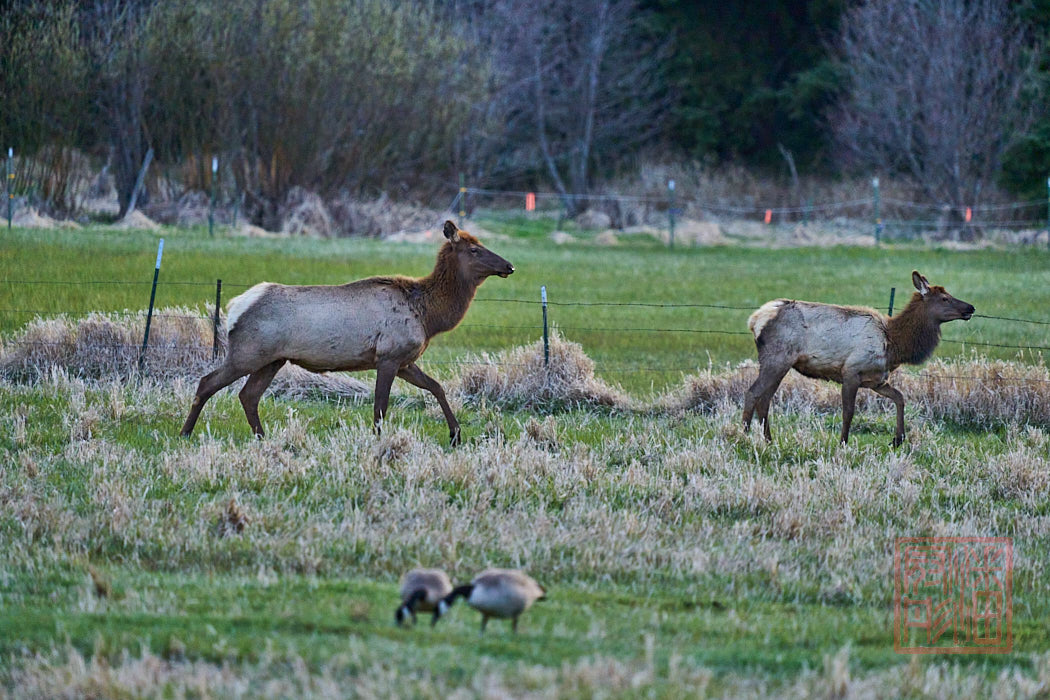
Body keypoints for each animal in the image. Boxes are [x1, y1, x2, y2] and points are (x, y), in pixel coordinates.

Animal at [180, 220, 514, 445]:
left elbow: (437, 387)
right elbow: (380, 406)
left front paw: (456, 434)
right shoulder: (389, 356)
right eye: (474, 249)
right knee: (208, 383)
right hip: (248, 352)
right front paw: (378, 441)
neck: (428, 315)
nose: (509, 266)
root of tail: (235, 307)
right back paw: (185, 432)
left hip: (272, 360)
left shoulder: (405, 361)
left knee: (248, 395)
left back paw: (262, 437)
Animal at [743, 271, 974, 447]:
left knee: (765, 399)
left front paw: (897, 439)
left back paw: (769, 441)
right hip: (777, 358)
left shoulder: (876, 380)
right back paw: (743, 436)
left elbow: (900, 397)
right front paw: (843, 443)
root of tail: (755, 320)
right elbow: (848, 411)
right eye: (945, 298)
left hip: (780, 364)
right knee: (753, 393)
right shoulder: (851, 371)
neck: (893, 346)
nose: (970, 307)